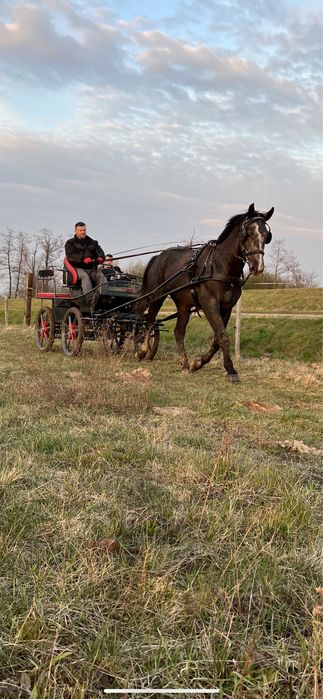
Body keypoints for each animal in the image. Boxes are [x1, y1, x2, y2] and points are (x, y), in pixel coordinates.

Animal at [133, 202, 274, 382]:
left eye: (266, 236)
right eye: (248, 233)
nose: (258, 266)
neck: (220, 265)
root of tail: (158, 256)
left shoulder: (226, 307)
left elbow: (217, 339)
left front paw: (197, 363)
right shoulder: (210, 304)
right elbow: (222, 336)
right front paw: (231, 370)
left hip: (183, 304)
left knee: (178, 331)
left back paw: (184, 363)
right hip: (157, 295)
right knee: (149, 320)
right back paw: (142, 350)